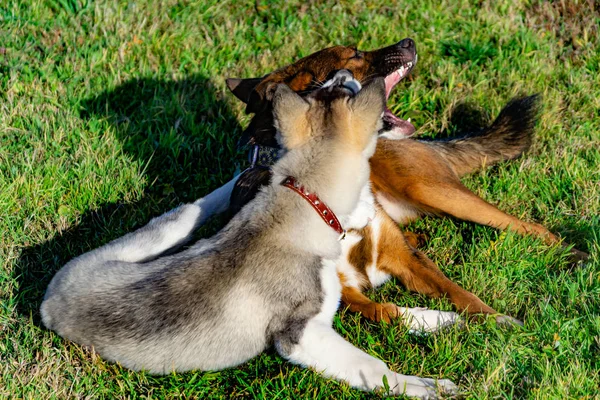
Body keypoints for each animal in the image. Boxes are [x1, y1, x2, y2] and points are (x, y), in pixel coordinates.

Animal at [41, 71, 454, 396]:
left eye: (328, 89)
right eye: (342, 87)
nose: (341, 73)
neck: (302, 202)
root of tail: (50, 296)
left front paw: (438, 320)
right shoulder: (299, 335)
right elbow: (371, 366)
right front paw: (424, 385)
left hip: (159, 237)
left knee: (188, 211)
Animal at [224, 38, 584, 324]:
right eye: (354, 55)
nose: (408, 42)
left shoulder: (406, 259)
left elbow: (462, 294)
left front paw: (501, 324)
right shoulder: (345, 291)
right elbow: (386, 312)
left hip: (434, 191)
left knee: (528, 227)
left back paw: (573, 255)